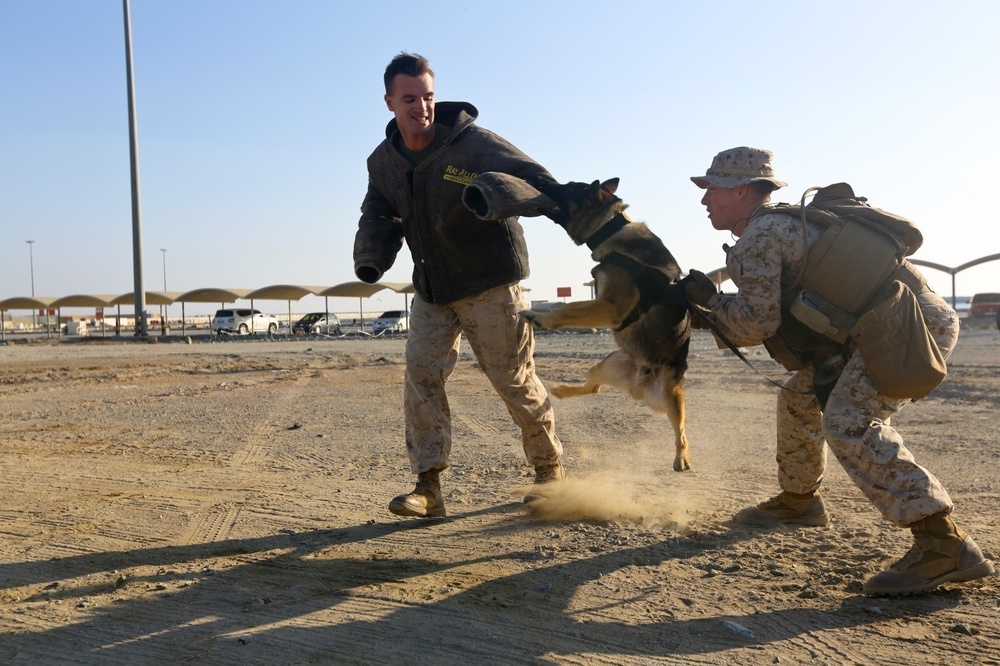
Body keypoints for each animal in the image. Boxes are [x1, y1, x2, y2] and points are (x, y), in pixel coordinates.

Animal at [520, 179, 692, 470]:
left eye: (567, 188)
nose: (541, 180)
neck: (612, 227)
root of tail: (638, 387)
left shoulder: (610, 306)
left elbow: (568, 308)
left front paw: (541, 317)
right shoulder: (603, 303)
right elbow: (572, 308)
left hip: (671, 395)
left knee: (681, 432)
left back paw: (681, 457)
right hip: (605, 366)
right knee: (594, 388)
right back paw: (562, 390)